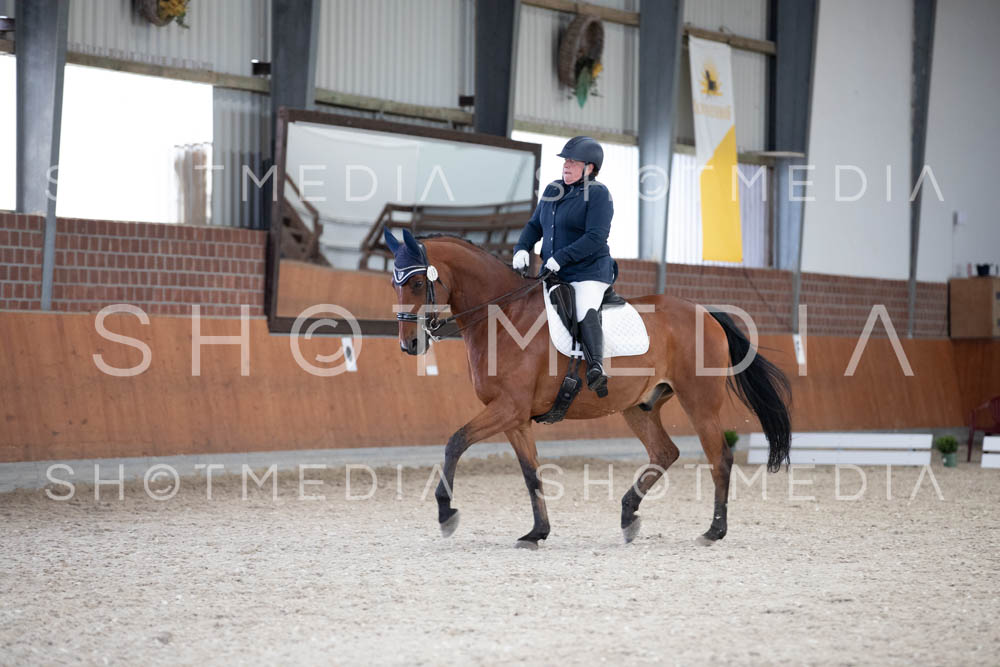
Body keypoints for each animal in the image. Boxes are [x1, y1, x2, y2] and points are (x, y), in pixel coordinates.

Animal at [384, 229, 791, 548]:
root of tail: (707, 313)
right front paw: (537, 532)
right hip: (637, 406)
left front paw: (446, 512)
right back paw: (628, 516)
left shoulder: (508, 409)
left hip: (700, 403)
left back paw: (713, 531)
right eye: (394, 284)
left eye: (418, 283)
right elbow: (530, 472)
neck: (503, 318)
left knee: (719, 457)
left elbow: (455, 441)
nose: (409, 345)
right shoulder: (515, 418)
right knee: (665, 452)